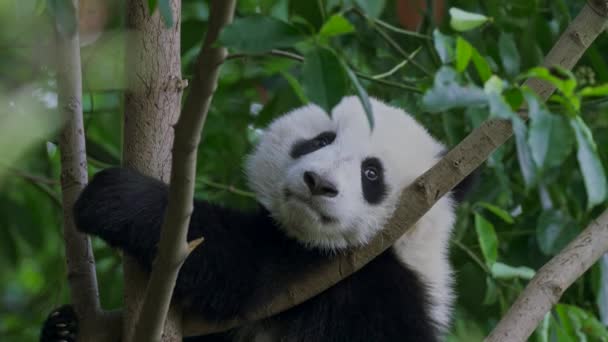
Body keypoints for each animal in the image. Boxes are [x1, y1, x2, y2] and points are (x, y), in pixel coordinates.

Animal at [41, 96, 470, 342]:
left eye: (371, 173)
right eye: (320, 140)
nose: (319, 183)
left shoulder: (353, 283)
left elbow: (238, 266)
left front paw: (117, 196)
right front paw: (65, 328)